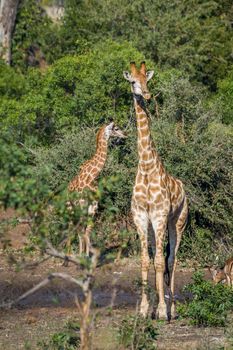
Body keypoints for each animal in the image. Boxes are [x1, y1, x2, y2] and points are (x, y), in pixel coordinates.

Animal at [68, 121, 125, 256]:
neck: (91, 176)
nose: (125, 134)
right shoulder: (83, 206)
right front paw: (82, 255)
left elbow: (87, 232)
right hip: (70, 209)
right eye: (116, 128)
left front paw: (86, 255)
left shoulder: (92, 207)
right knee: (72, 230)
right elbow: (83, 232)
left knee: (77, 230)